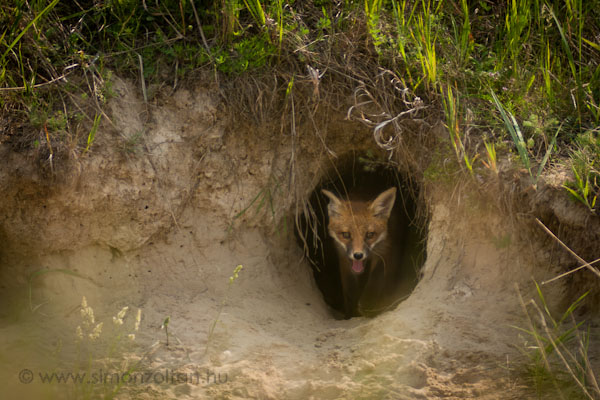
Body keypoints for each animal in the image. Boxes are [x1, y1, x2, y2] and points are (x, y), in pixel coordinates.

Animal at [324, 188, 398, 318]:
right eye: (346, 235)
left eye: (369, 235)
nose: (358, 255)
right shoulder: (343, 258)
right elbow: (349, 291)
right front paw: (350, 313)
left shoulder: (386, 251)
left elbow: (377, 276)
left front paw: (367, 303)